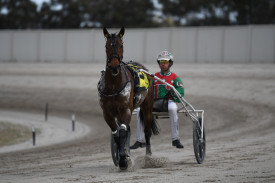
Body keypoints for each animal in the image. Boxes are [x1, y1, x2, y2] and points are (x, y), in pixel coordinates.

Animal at [98, 27, 160, 170]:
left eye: (121, 45)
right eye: (106, 46)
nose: (114, 67)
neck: (113, 86)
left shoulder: (125, 110)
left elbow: (123, 132)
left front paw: (123, 160)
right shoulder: (107, 113)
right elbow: (117, 133)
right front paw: (124, 157)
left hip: (147, 106)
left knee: (147, 131)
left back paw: (148, 157)